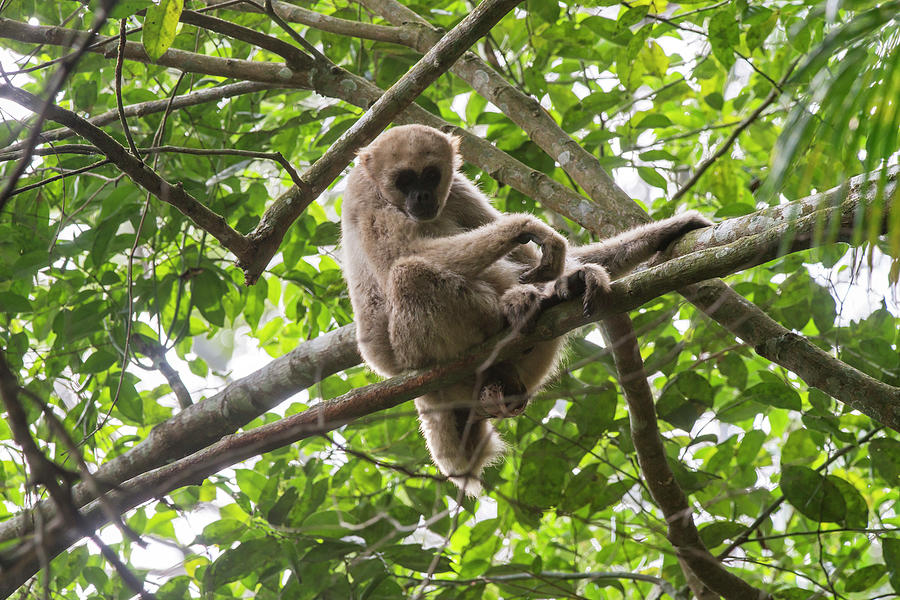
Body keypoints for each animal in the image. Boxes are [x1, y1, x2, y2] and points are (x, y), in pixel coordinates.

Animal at [340, 124, 712, 494]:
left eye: (431, 176)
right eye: (404, 180)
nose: (420, 197)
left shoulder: (456, 188)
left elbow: (537, 258)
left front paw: (665, 232)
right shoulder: (363, 193)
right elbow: (401, 255)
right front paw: (524, 227)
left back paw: (559, 295)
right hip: (415, 350)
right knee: (408, 273)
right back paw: (517, 312)